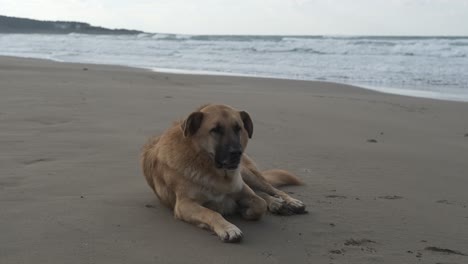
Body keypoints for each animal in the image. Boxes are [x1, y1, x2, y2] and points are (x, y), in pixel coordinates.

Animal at [141, 104, 306, 242]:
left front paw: (245, 210)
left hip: (248, 174)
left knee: (270, 190)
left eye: (238, 128)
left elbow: (259, 203)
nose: (237, 153)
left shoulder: (241, 188)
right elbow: (211, 213)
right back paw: (277, 204)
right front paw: (228, 227)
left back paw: (289, 202)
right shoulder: (184, 204)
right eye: (215, 130)